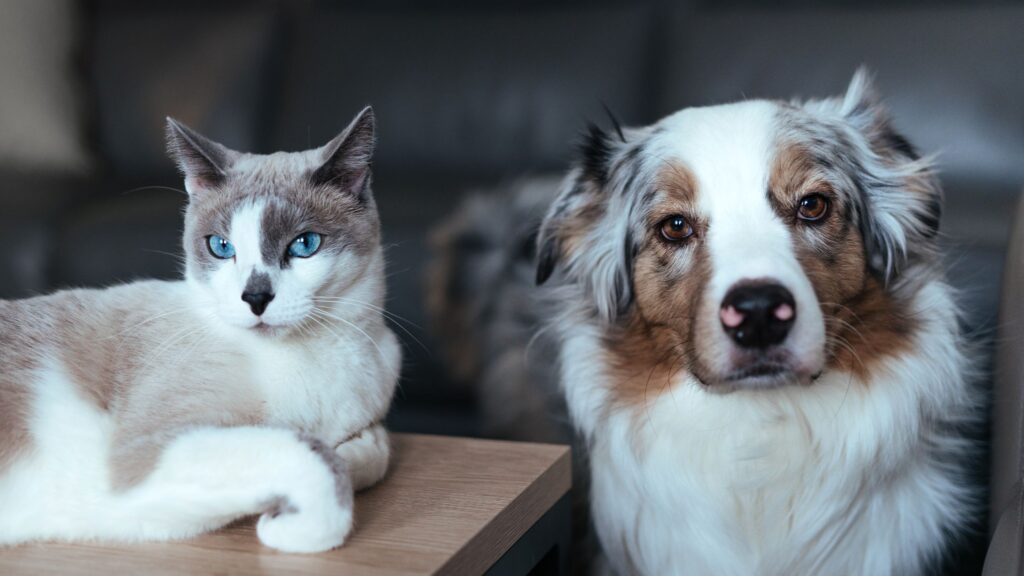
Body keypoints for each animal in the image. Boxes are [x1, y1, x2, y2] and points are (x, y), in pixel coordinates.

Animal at [0, 105, 399, 549]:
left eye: (304, 245)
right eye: (221, 247)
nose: (255, 298)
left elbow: (371, 452)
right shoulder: (147, 453)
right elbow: (319, 463)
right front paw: (280, 525)